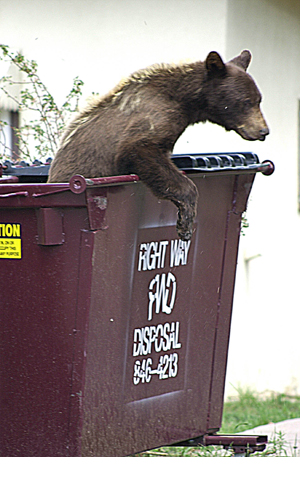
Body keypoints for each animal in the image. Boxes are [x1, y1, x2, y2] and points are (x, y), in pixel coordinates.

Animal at [48, 50, 270, 241]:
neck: (183, 99)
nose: (264, 131)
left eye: (259, 99)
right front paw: (186, 223)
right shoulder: (151, 118)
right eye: (246, 101)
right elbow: (139, 149)